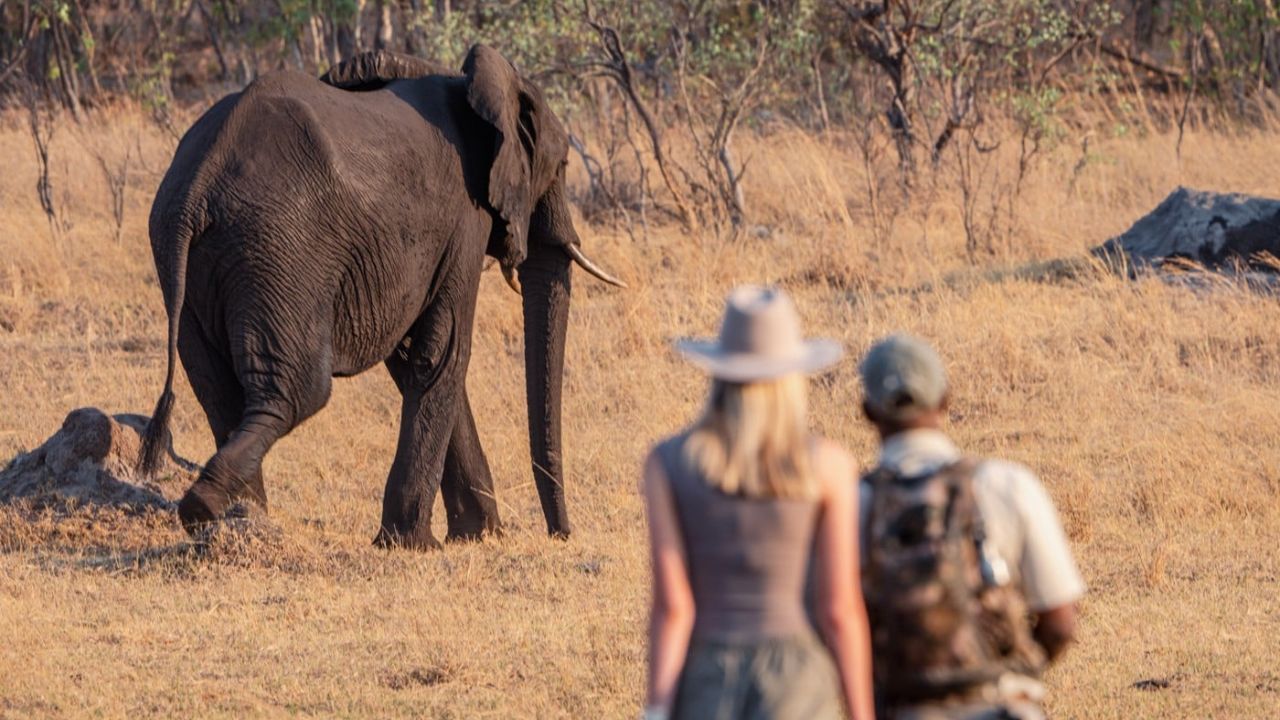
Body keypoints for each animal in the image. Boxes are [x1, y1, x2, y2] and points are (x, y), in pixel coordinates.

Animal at [138, 45, 623, 549]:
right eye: (562, 167)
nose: (561, 535)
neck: (467, 86)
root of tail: (199, 184)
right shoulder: (465, 219)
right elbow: (445, 351)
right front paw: (416, 544)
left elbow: (414, 357)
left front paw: (477, 536)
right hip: (281, 247)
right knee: (297, 392)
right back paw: (206, 507)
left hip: (189, 261)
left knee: (217, 391)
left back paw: (240, 522)